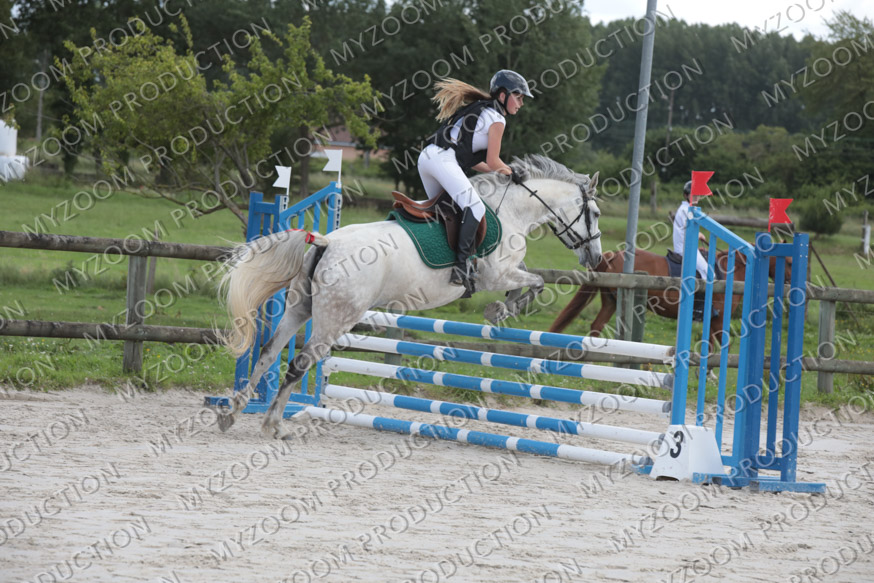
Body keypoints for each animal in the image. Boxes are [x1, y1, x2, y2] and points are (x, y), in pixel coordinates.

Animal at [217, 155, 603, 438]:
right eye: (595, 213)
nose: (596, 258)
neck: (511, 209)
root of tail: (326, 241)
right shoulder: (496, 273)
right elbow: (535, 282)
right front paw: (500, 310)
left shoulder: (507, 271)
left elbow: (528, 280)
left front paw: (502, 308)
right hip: (336, 318)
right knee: (300, 362)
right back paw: (274, 425)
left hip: (301, 306)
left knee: (268, 352)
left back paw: (233, 414)